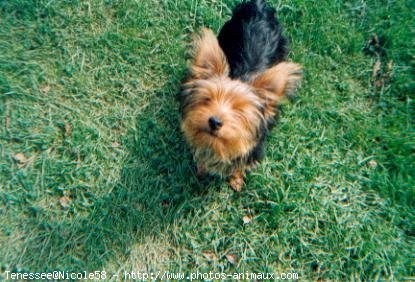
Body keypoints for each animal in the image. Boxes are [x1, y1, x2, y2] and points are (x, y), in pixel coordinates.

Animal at [180, 0, 304, 192]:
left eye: (239, 110)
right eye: (207, 99)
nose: (214, 121)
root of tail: (258, 6)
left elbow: (240, 165)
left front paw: (236, 179)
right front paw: (202, 167)